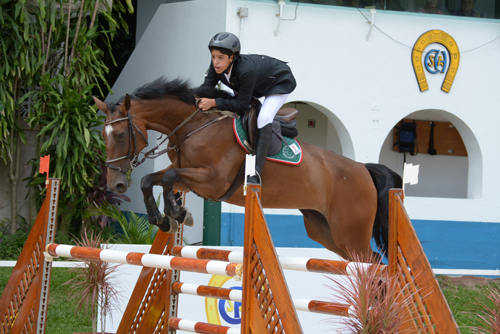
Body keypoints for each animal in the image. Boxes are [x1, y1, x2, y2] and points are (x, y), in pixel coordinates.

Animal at [94, 77, 402, 262]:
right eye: (102, 136)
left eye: (120, 135)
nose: (115, 185)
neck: (193, 126)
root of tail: (363, 170)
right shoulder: (187, 174)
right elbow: (151, 180)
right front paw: (166, 218)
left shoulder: (212, 181)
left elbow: (168, 177)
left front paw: (178, 214)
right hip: (326, 232)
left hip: (350, 234)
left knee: (372, 265)